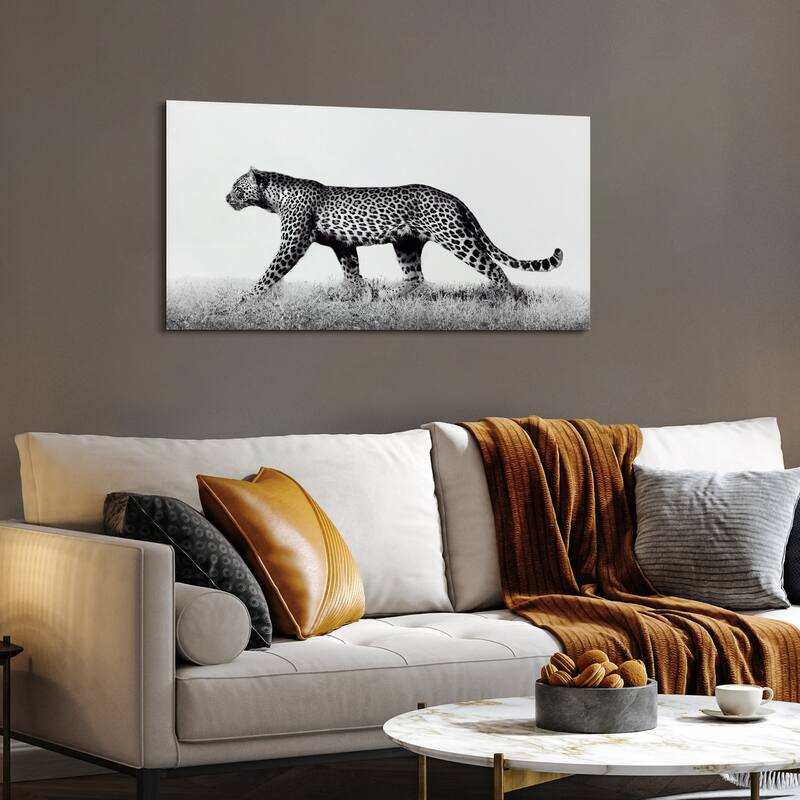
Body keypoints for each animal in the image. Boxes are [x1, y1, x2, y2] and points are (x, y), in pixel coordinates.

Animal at [226, 168, 563, 299]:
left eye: (237, 187)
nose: (226, 198)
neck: (274, 198)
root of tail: (453, 197)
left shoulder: (293, 243)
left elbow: (270, 272)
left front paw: (246, 300)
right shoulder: (342, 244)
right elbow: (352, 272)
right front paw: (359, 295)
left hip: (457, 238)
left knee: (493, 268)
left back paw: (510, 300)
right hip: (407, 244)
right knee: (415, 278)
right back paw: (387, 296)